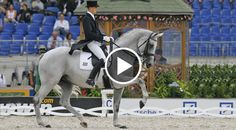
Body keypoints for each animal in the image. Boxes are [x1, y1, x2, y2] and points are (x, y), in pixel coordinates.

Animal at [33, 28, 162, 128]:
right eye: (151, 45)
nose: (149, 64)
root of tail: (45, 54)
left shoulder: (119, 87)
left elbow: (116, 105)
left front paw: (117, 124)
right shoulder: (121, 81)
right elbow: (141, 81)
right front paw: (142, 103)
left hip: (67, 83)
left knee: (64, 102)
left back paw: (83, 121)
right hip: (49, 82)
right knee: (37, 99)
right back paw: (42, 123)